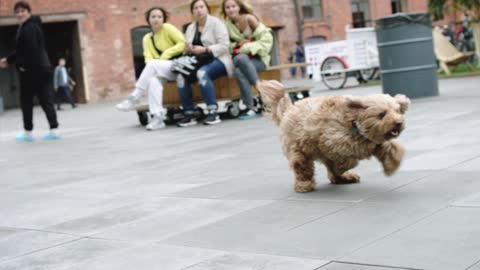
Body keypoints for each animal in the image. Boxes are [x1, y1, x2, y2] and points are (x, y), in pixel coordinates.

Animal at [256, 79, 410, 192]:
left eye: (397, 111)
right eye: (382, 114)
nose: (398, 122)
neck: (354, 123)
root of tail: (289, 109)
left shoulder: (373, 142)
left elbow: (390, 149)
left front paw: (391, 165)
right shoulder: (332, 142)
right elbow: (348, 159)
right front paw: (341, 167)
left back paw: (345, 177)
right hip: (299, 148)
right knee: (302, 166)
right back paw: (304, 185)